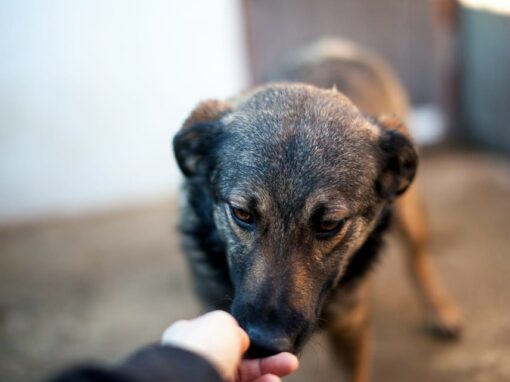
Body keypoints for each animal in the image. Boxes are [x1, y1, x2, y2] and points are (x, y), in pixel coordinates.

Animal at [172, 39, 462, 382]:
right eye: (242, 214)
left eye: (329, 224)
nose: (265, 343)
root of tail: (333, 45)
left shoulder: (352, 328)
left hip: (410, 210)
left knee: (419, 258)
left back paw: (441, 310)